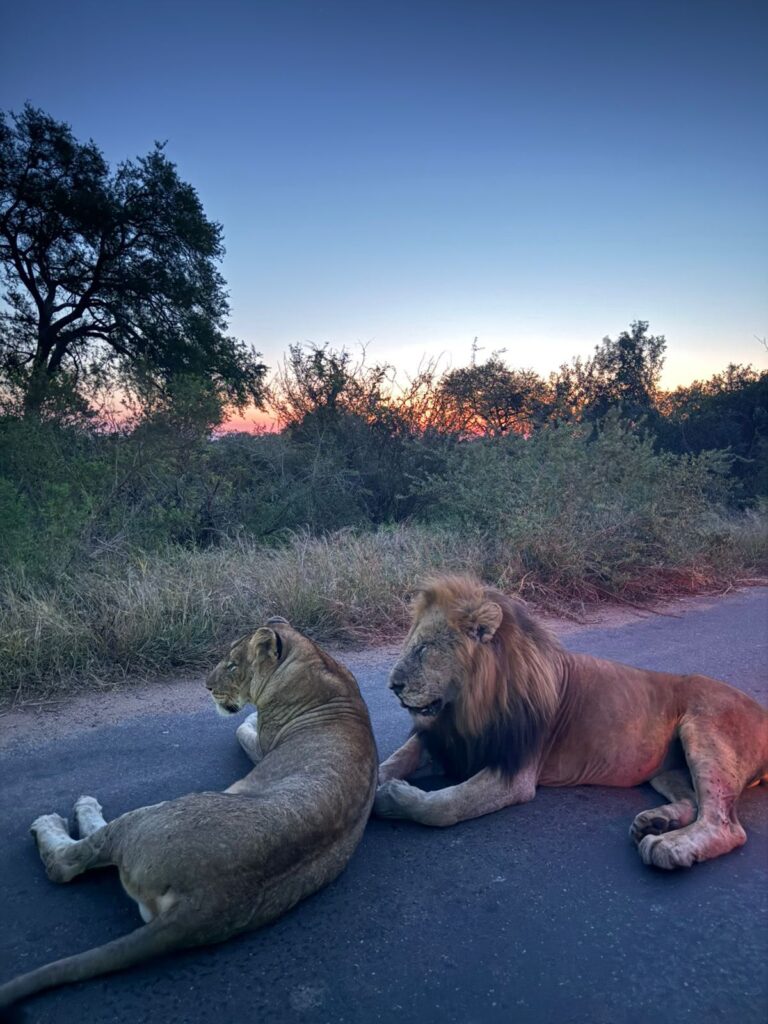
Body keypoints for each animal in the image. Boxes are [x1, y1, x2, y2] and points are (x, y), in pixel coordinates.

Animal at [0, 618, 377, 1009]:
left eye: (232, 665)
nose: (207, 687)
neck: (315, 660)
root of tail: (205, 900)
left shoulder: (261, 746)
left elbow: (242, 728)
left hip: (150, 817)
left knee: (66, 863)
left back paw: (65, 815)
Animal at [374, 576, 768, 869]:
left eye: (425, 648)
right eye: (411, 644)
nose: (392, 686)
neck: (466, 708)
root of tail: (762, 711)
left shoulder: (515, 773)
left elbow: (445, 805)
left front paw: (391, 798)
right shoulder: (448, 741)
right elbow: (397, 758)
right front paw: (373, 780)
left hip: (705, 733)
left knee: (724, 824)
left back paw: (670, 847)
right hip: (668, 769)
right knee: (692, 802)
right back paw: (657, 822)